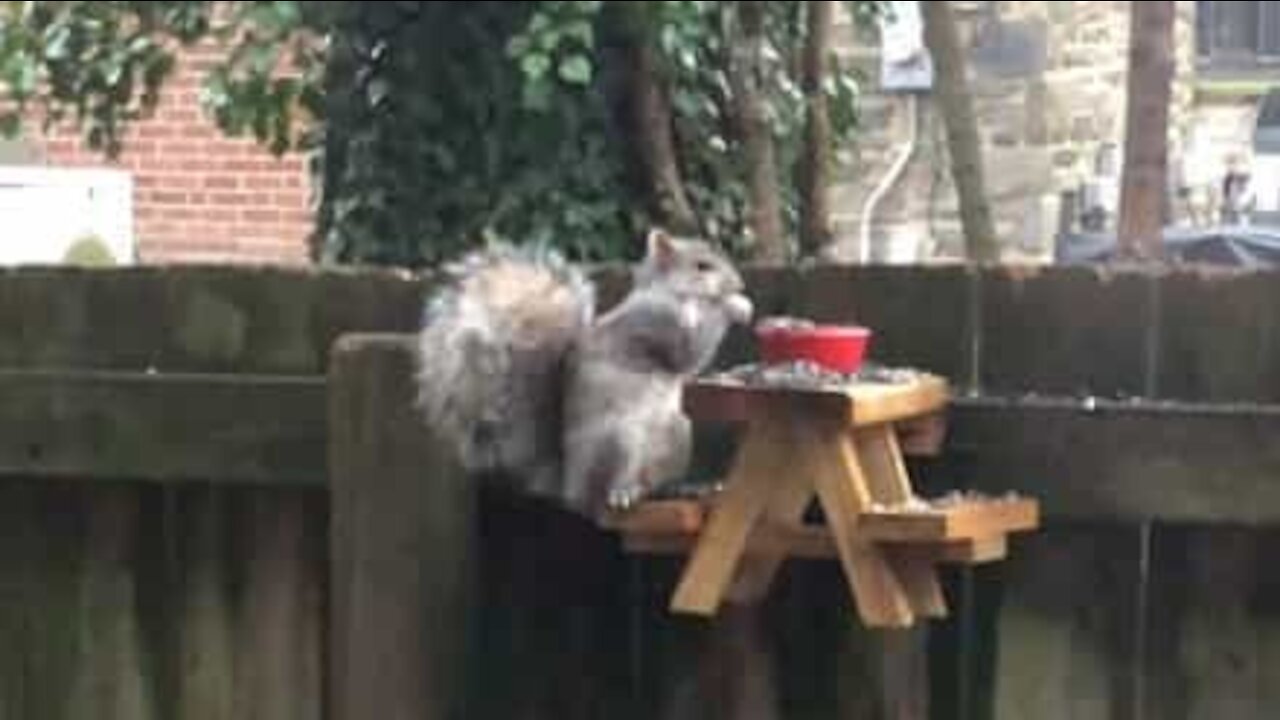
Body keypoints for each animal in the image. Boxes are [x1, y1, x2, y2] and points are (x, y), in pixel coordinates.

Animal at [414, 226, 747, 517]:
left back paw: (674, 489)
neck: (676, 296)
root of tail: (569, 488)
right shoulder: (654, 325)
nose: (740, 284)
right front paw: (733, 306)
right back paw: (621, 493)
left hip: (677, 431)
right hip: (617, 439)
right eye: (702, 266)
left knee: (653, 482)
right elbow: (690, 354)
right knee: (604, 491)